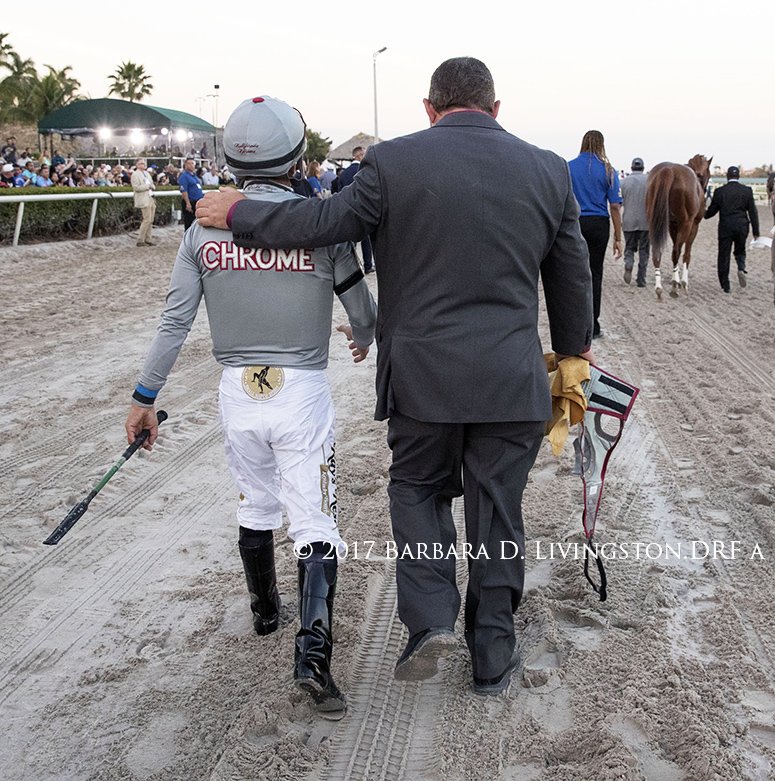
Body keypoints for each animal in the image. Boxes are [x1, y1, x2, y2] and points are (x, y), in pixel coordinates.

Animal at [646, 154, 712, 300]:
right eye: (709, 174)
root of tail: (668, 170)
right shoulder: (693, 225)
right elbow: (687, 253)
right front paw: (683, 282)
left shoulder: (673, 225)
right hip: (686, 223)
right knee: (676, 251)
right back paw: (675, 287)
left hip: (653, 222)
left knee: (657, 251)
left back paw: (659, 287)